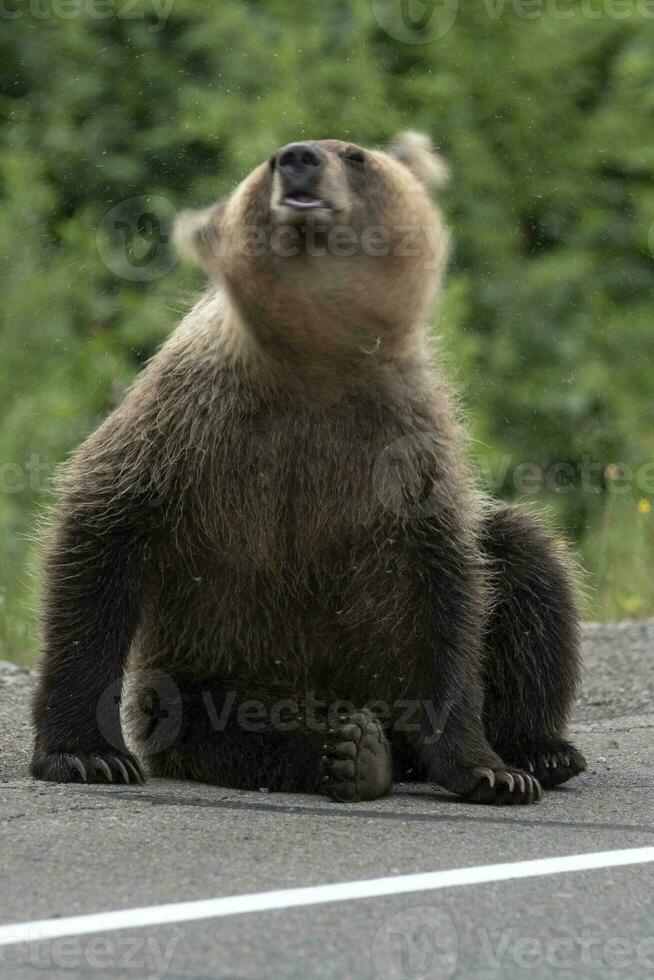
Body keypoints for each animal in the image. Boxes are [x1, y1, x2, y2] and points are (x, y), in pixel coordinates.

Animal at [30, 132, 588, 804]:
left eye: (354, 155)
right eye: (271, 159)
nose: (299, 157)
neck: (316, 358)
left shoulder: (402, 448)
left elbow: (445, 596)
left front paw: (489, 770)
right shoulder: (189, 421)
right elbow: (103, 533)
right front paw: (87, 755)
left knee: (527, 565)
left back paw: (538, 750)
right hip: (216, 664)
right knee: (227, 727)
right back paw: (350, 751)